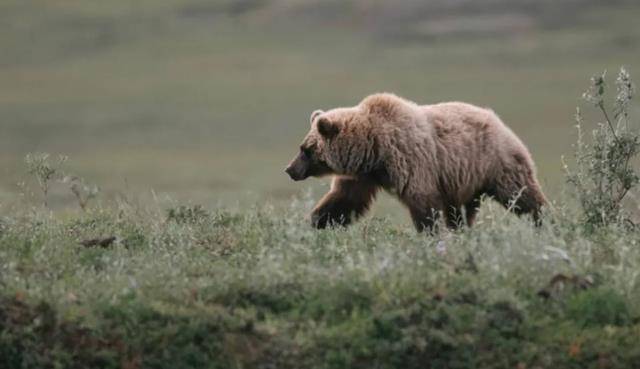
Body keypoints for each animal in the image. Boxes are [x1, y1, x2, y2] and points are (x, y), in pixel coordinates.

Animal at [284, 92, 544, 230]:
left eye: (305, 150)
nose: (289, 169)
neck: (373, 150)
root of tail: (498, 120)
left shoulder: (412, 161)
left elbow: (423, 202)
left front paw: (430, 236)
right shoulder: (361, 175)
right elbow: (344, 200)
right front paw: (314, 222)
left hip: (496, 163)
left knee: (522, 195)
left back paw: (544, 221)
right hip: (465, 179)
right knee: (460, 211)